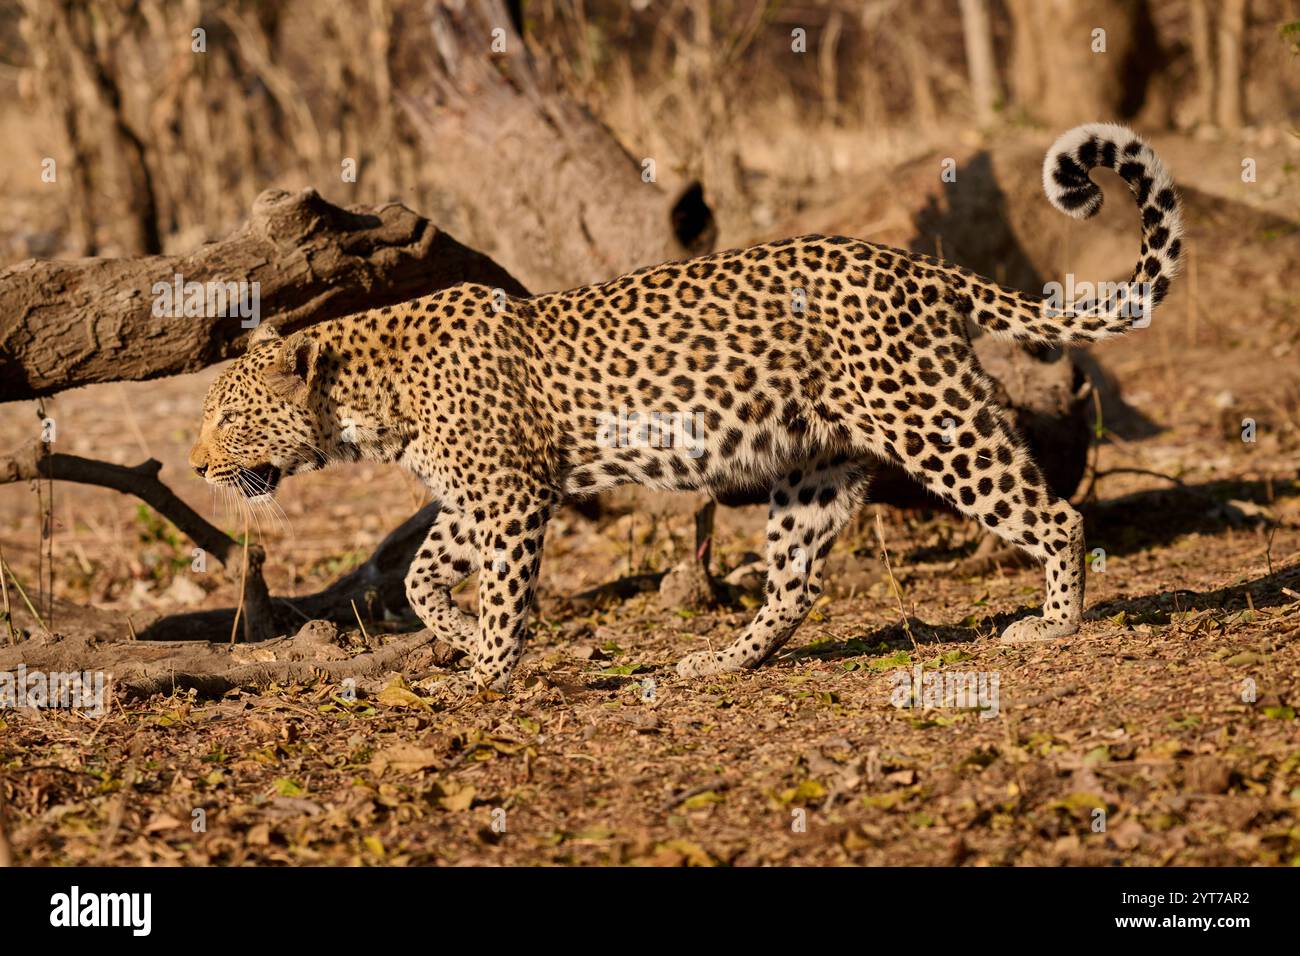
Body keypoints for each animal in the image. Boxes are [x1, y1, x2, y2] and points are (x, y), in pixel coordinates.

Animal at [189, 123, 1183, 696]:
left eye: (229, 420)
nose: (197, 466)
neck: (367, 400)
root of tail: (918, 266)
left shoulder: (510, 495)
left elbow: (500, 589)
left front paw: (490, 672)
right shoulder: (477, 496)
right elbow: (420, 578)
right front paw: (462, 640)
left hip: (929, 419)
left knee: (1055, 512)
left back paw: (1053, 625)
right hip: (814, 467)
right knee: (794, 582)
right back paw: (723, 661)